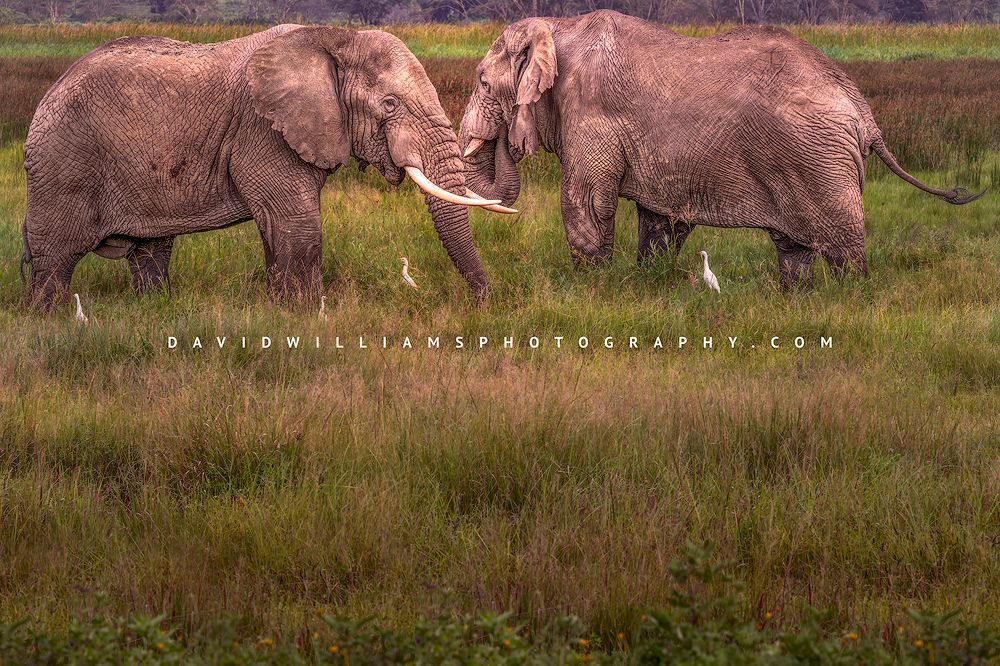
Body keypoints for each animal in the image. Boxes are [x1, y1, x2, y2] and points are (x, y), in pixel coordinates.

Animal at [22, 25, 511, 309]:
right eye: (389, 104)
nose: (484, 305)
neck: (332, 38)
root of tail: (46, 97)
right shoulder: (263, 131)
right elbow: (298, 223)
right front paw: (307, 318)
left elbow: (281, 227)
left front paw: (285, 313)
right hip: (63, 166)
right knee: (53, 260)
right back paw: (47, 320)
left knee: (151, 254)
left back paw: (153, 311)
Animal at [458, 10, 982, 288]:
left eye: (482, 81)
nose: (504, 138)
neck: (556, 26)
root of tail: (865, 115)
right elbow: (661, 220)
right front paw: (643, 285)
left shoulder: (591, 111)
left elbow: (584, 204)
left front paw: (592, 289)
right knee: (793, 246)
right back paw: (799, 299)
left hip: (821, 163)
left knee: (841, 246)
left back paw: (851, 299)